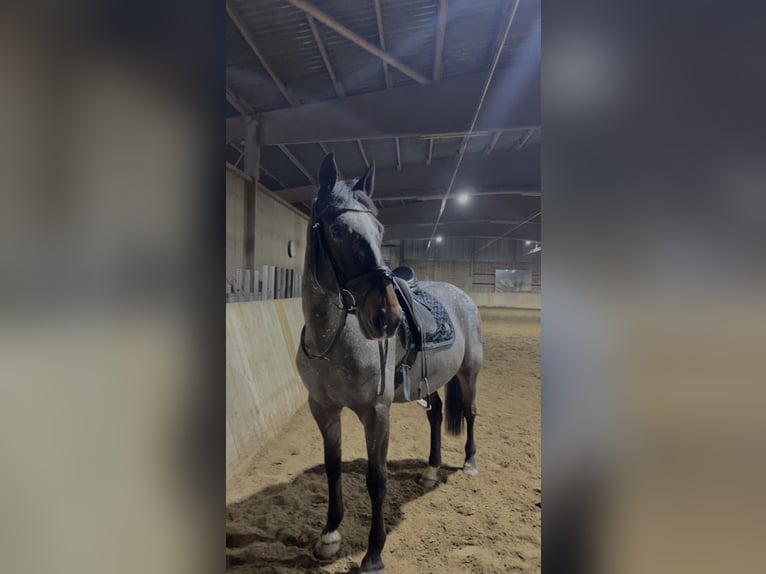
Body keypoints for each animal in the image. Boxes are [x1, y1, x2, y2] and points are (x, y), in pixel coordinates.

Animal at [296, 152, 483, 573]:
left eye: (380, 229)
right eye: (338, 229)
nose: (387, 317)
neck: (333, 339)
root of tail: (462, 295)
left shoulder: (376, 411)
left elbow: (376, 478)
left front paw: (373, 554)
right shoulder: (323, 408)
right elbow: (332, 467)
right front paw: (329, 536)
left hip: (468, 373)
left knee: (471, 412)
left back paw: (468, 463)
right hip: (432, 381)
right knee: (437, 415)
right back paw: (430, 472)